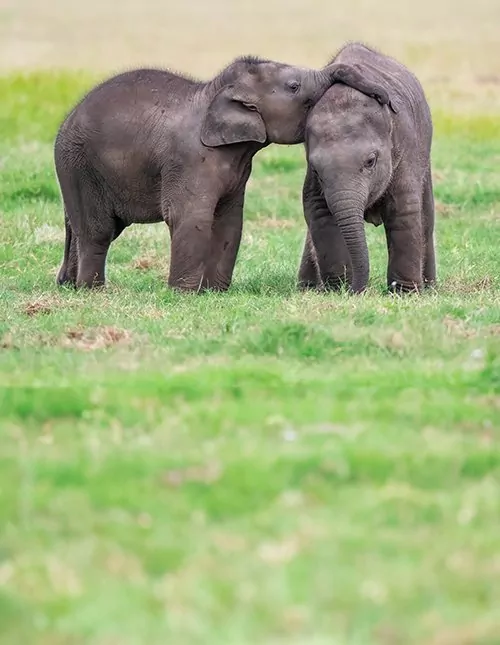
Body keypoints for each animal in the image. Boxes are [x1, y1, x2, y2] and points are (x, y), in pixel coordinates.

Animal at [53, 55, 390, 292]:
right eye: (294, 86)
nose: (384, 97)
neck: (214, 92)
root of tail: (66, 120)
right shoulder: (189, 160)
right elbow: (192, 217)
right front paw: (183, 294)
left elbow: (229, 221)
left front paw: (214, 292)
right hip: (79, 166)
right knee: (98, 231)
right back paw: (93, 290)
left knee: (79, 225)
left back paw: (68, 284)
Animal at [298, 44, 436, 294]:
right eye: (316, 170)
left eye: (370, 161)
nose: (356, 291)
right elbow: (318, 209)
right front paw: (338, 288)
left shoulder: (405, 149)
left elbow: (403, 209)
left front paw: (404, 293)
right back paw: (307, 287)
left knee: (426, 217)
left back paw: (430, 288)